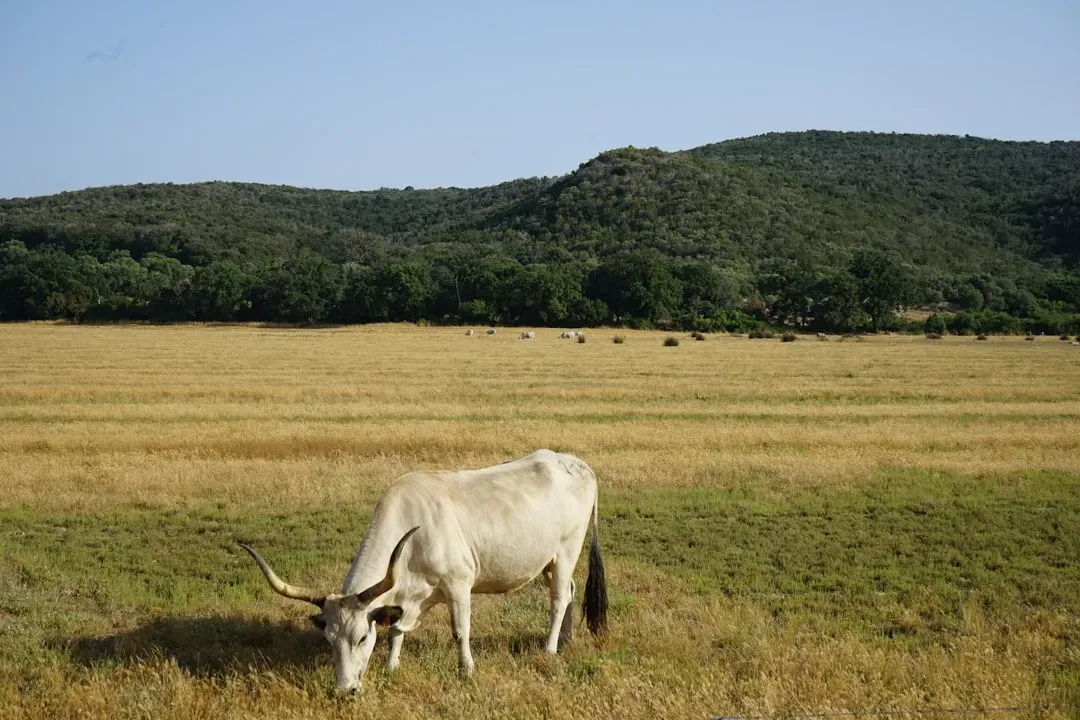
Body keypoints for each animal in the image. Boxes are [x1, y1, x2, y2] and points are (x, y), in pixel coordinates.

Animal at [238, 449, 608, 695]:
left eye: (361, 638)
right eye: (329, 639)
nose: (344, 690)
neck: (413, 530)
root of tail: (578, 465)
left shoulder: (459, 585)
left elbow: (460, 631)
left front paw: (466, 671)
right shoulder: (405, 599)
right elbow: (396, 630)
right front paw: (391, 667)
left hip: (566, 552)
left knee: (558, 600)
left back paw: (549, 649)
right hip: (549, 561)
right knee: (571, 593)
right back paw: (567, 639)